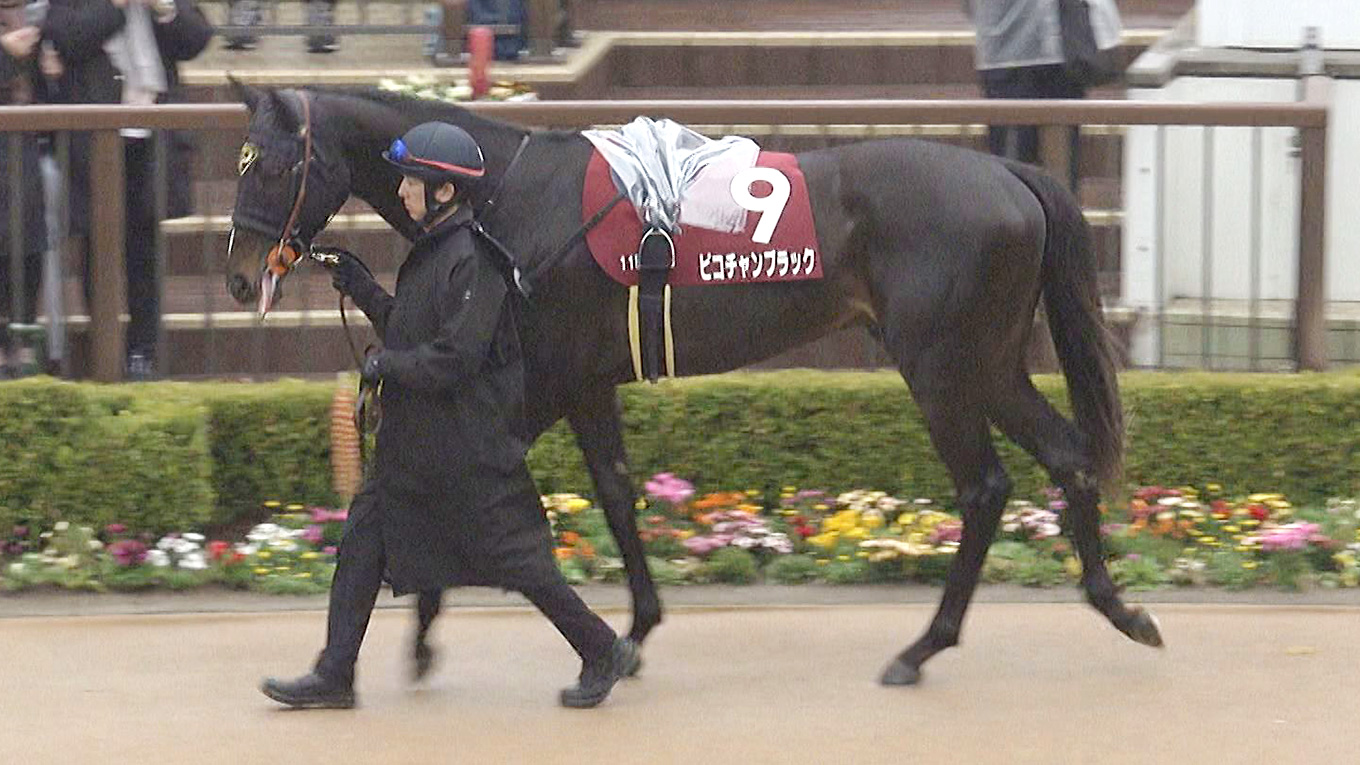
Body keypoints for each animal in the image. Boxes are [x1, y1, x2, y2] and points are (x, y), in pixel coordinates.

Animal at [222, 84, 1163, 686]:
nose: (236, 277)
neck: (513, 200)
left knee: (986, 485)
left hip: (941, 366)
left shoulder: (538, 374)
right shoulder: (586, 380)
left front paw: (425, 627)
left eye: (267, 167)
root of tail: (1009, 174)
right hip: (988, 362)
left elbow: (462, 486)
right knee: (1068, 455)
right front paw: (633, 628)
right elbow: (615, 489)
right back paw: (1120, 608)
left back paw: (923, 646)